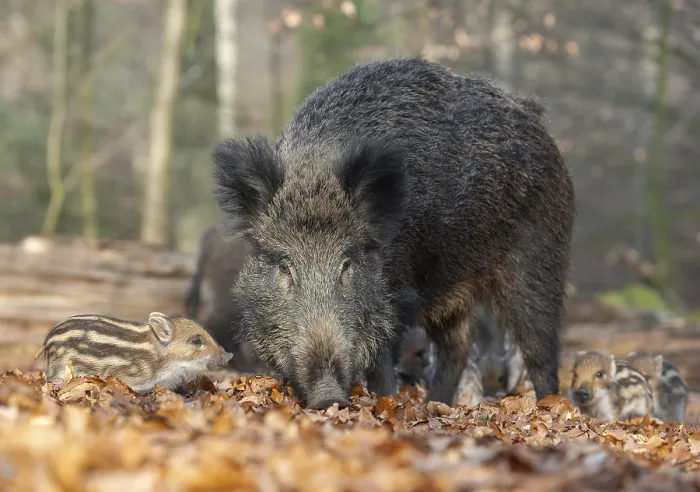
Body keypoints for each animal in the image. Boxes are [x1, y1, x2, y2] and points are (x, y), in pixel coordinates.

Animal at [212, 57, 575, 409]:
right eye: (285, 266)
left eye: (347, 264)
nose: (328, 396)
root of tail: (532, 112)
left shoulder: (396, 294)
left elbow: (382, 360)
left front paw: (384, 402)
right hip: (450, 287)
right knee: (458, 344)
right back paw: (435, 405)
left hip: (538, 261)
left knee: (540, 349)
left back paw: (550, 404)